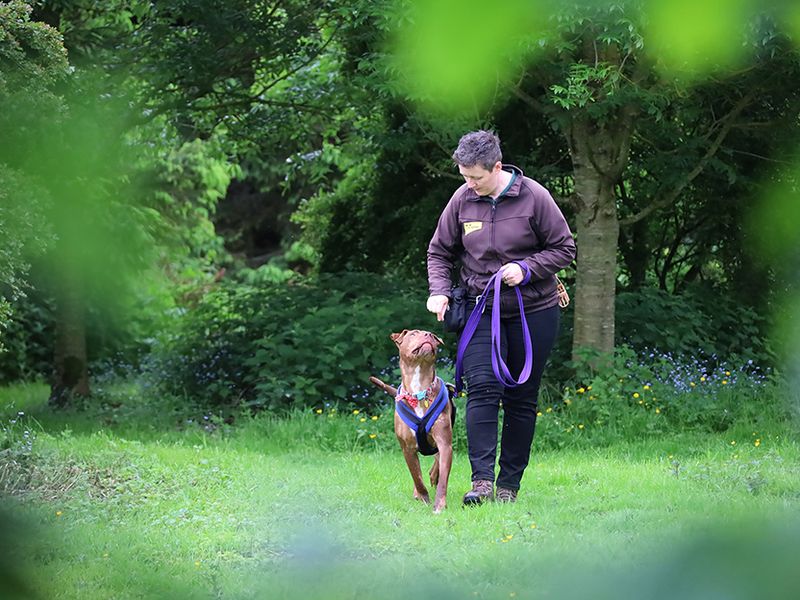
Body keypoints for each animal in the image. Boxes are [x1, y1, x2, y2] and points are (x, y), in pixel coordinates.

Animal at [370, 328, 454, 510]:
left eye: (433, 336)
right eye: (414, 334)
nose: (428, 336)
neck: (419, 390)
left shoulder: (444, 442)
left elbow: (443, 477)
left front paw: (439, 505)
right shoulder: (407, 448)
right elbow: (416, 477)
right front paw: (423, 498)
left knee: (436, 464)